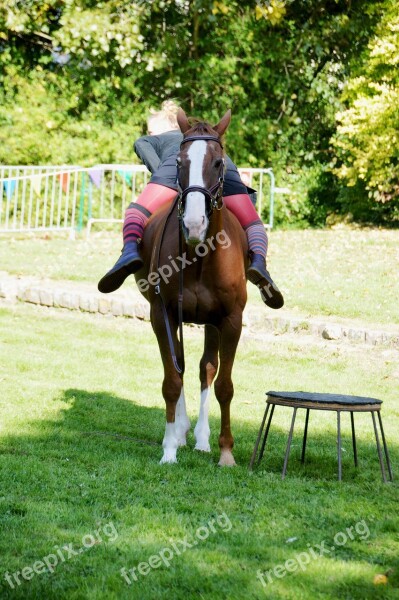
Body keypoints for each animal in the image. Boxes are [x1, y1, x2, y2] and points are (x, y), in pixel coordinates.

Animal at [135, 109, 247, 464]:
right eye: (180, 162)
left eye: (218, 162)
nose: (194, 224)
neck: (200, 257)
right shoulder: (163, 315)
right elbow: (172, 379)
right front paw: (170, 447)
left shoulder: (230, 320)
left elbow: (224, 384)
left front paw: (225, 452)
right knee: (182, 365)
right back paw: (183, 432)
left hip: (212, 323)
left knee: (205, 369)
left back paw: (201, 438)